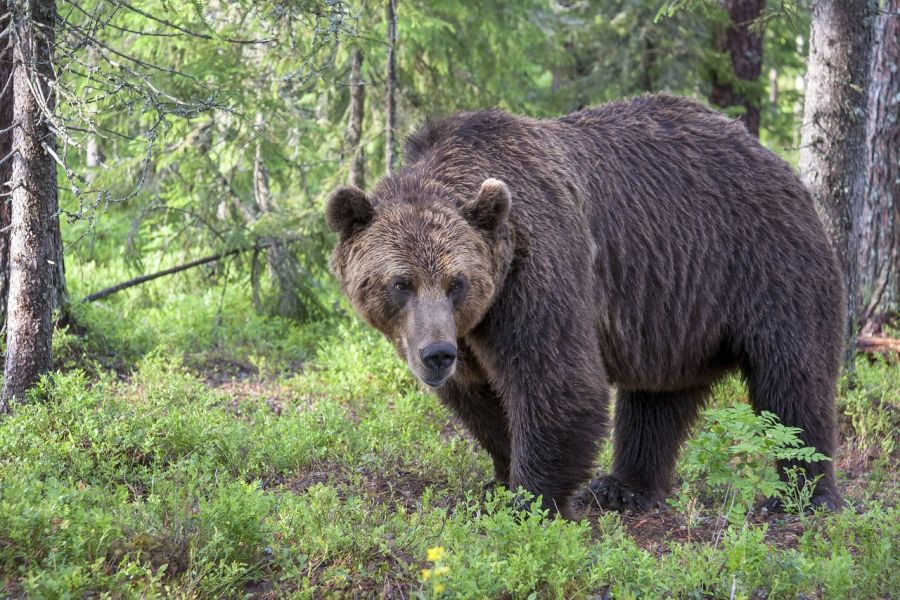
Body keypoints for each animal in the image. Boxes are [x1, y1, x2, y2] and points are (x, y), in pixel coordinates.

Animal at [328, 95, 844, 520]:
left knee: (793, 381)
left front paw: (529, 500)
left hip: (767, 264)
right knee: (657, 400)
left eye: (457, 282)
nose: (436, 355)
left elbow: (557, 380)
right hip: (674, 311)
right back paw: (623, 487)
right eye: (402, 283)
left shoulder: (537, 271)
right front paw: (498, 480)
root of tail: (775, 160)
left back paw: (801, 495)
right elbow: (480, 398)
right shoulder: (472, 331)